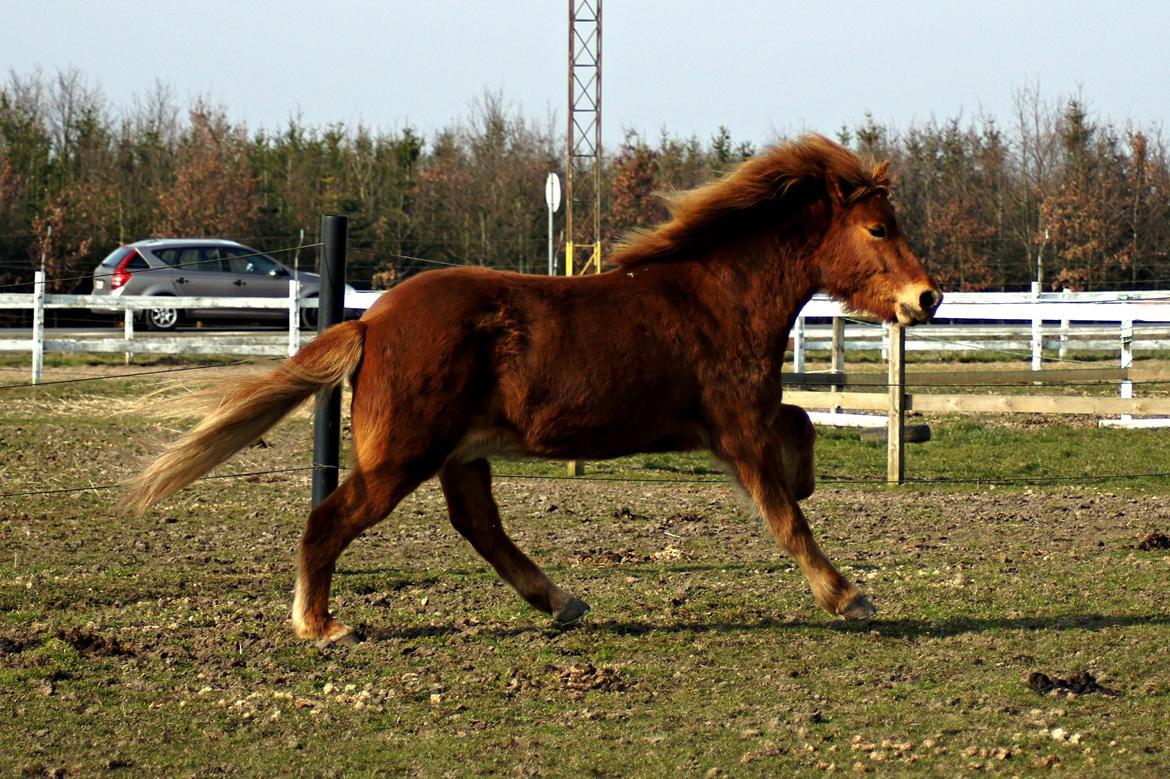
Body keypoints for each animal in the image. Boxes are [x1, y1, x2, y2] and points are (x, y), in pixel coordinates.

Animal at [130, 135, 940, 640]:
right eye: (877, 229)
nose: (927, 298)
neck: (715, 295)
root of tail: (373, 320)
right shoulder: (735, 426)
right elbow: (786, 512)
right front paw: (848, 595)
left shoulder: (738, 418)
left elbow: (801, 424)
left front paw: (812, 490)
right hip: (404, 455)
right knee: (330, 519)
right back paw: (321, 625)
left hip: (461, 454)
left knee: (478, 525)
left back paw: (561, 600)